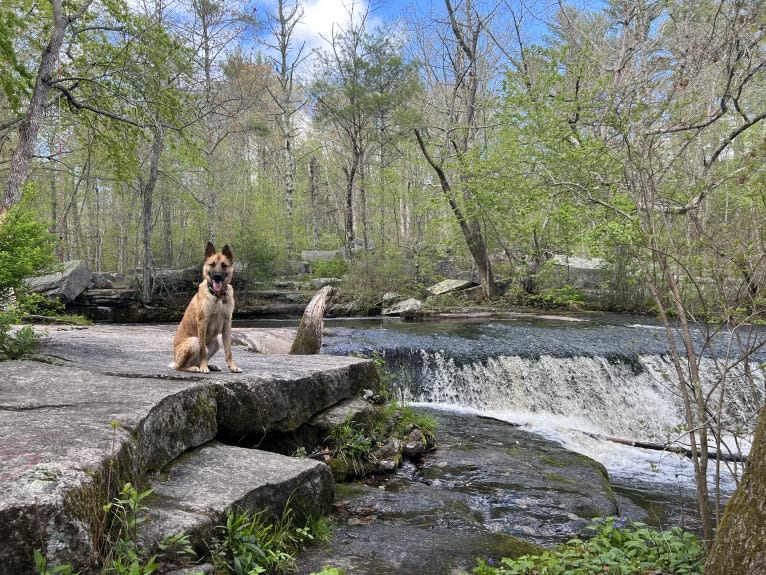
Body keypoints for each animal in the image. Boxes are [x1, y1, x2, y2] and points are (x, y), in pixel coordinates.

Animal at [172, 242, 242, 374]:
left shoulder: (227, 324)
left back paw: (210, 366)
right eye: (212, 264)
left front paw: (232, 366)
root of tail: (174, 359)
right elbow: (203, 350)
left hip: (216, 343)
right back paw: (196, 368)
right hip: (194, 341)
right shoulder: (202, 323)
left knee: (196, 360)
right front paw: (204, 367)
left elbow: (228, 350)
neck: (218, 297)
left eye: (224, 265)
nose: (217, 276)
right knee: (181, 367)